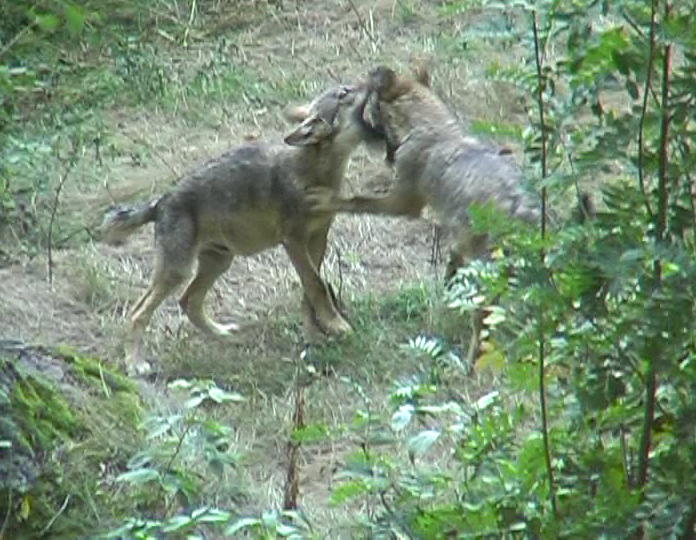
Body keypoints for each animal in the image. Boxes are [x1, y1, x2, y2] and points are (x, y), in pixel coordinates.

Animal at [100, 82, 378, 376]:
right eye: (344, 93)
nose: (370, 79)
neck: (315, 173)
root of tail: (161, 201)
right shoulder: (293, 242)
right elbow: (317, 285)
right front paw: (336, 326)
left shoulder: (318, 239)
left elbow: (310, 289)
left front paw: (317, 333)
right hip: (178, 271)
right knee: (138, 312)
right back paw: (135, 364)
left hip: (220, 262)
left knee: (189, 302)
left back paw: (222, 334)